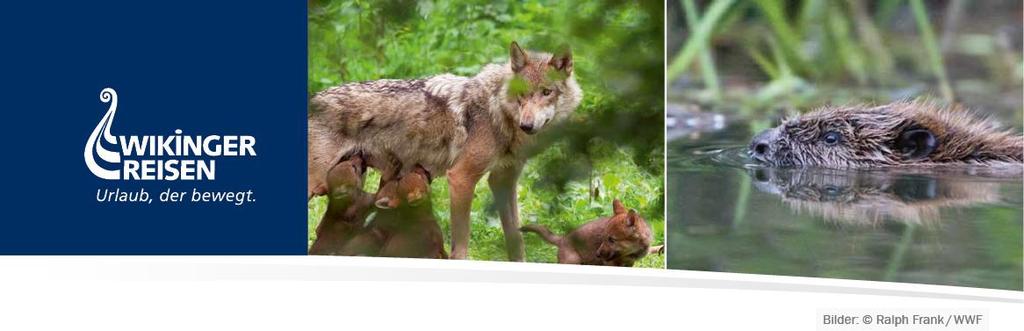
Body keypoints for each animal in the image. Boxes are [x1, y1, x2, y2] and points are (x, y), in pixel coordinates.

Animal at [305, 41, 585, 260]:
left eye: (546, 92)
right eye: (521, 95)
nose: (527, 125)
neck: (498, 111)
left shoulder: (503, 180)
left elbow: (516, 240)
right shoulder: (461, 178)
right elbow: (460, 247)